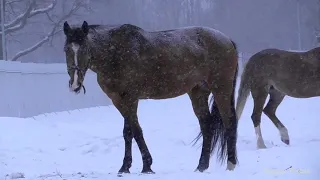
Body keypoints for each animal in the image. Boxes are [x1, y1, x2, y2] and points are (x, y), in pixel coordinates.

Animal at [62, 20, 239, 174]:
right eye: (66, 50)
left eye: (85, 49)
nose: (75, 84)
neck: (115, 53)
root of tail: (227, 40)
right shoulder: (119, 100)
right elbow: (127, 133)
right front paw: (125, 167)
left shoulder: (131, 98)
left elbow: (136, 131)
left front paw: (147, 165)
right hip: (198, 93)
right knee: (206, 125)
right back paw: (201, 166)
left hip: (221, 89)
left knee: (229, 121)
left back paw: (231, 164)